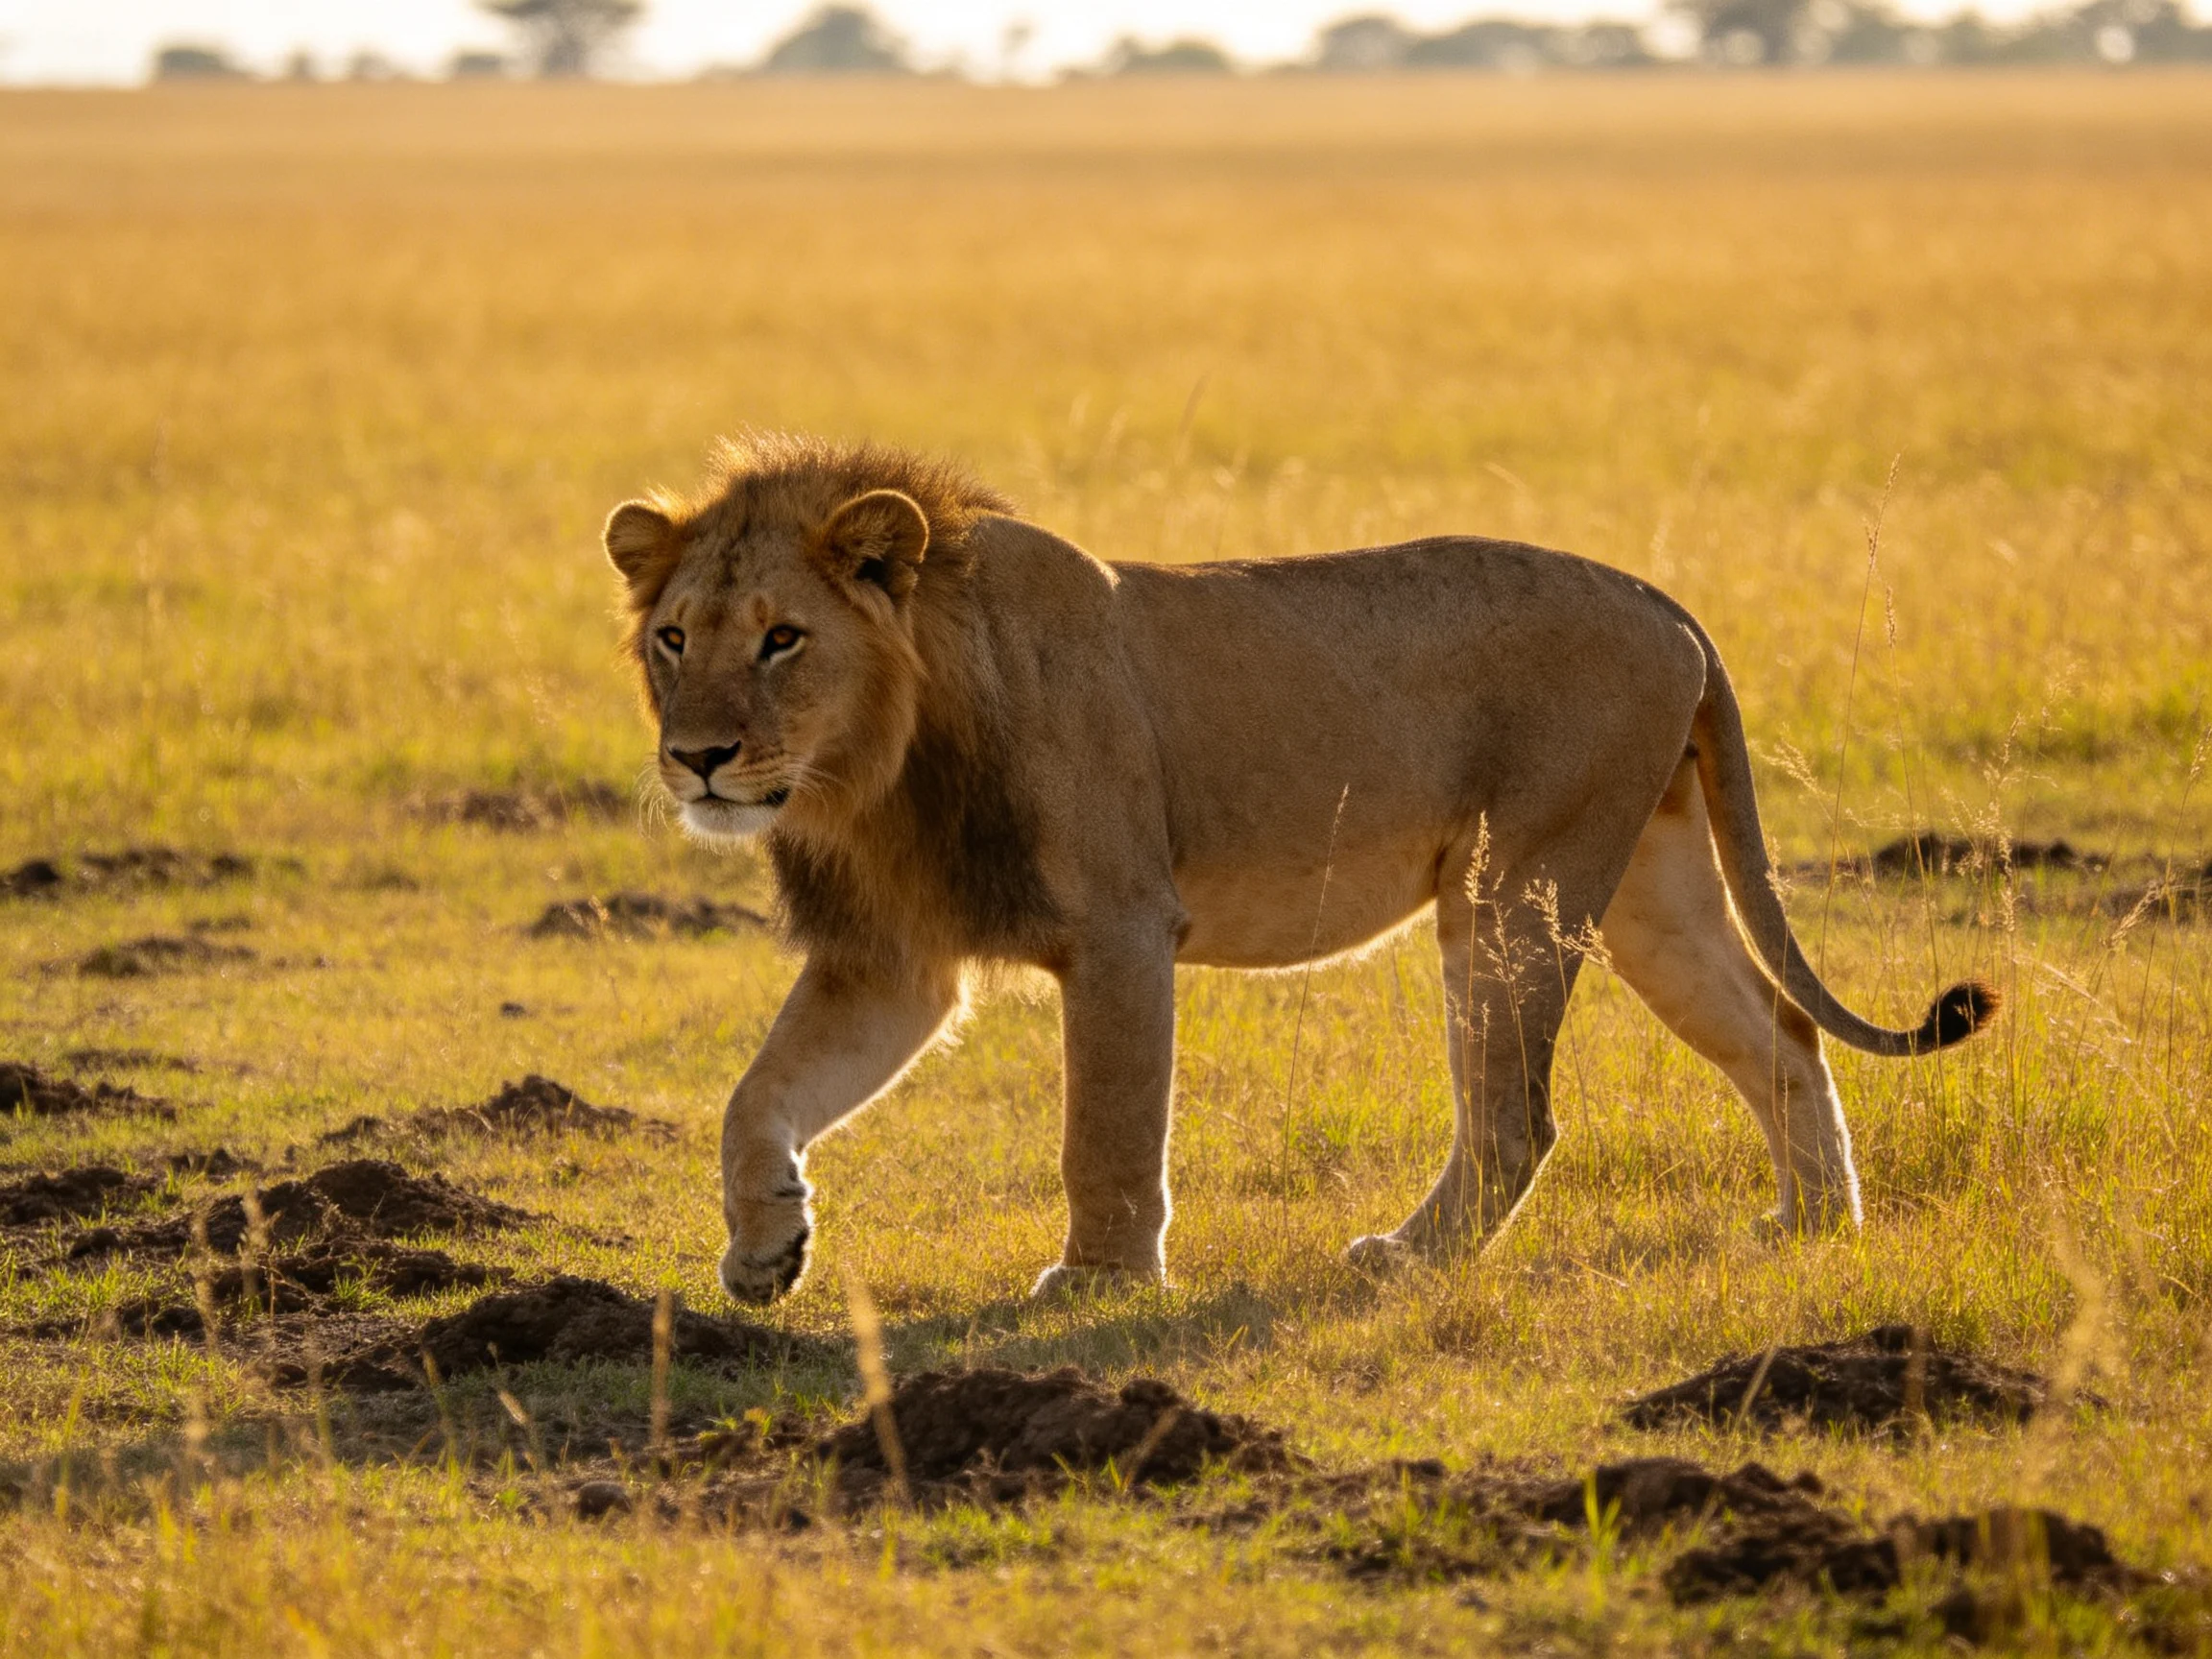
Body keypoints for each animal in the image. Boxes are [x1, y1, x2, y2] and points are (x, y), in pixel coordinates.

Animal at [602, 433, 1996, 1305]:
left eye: (783, 639)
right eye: (674, 638)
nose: (699, 760)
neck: (875, 771)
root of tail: (1668, 604)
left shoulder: (1120, 927)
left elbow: (1106, 1128)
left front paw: (1101, 1280)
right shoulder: (892, 959)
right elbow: (754, 1099)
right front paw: (765, 1250)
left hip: (1514, 884)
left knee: (1519, 1113)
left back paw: (1411, 1259)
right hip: (1645, 880)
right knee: (1777, 1032)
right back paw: (1815, 1225)